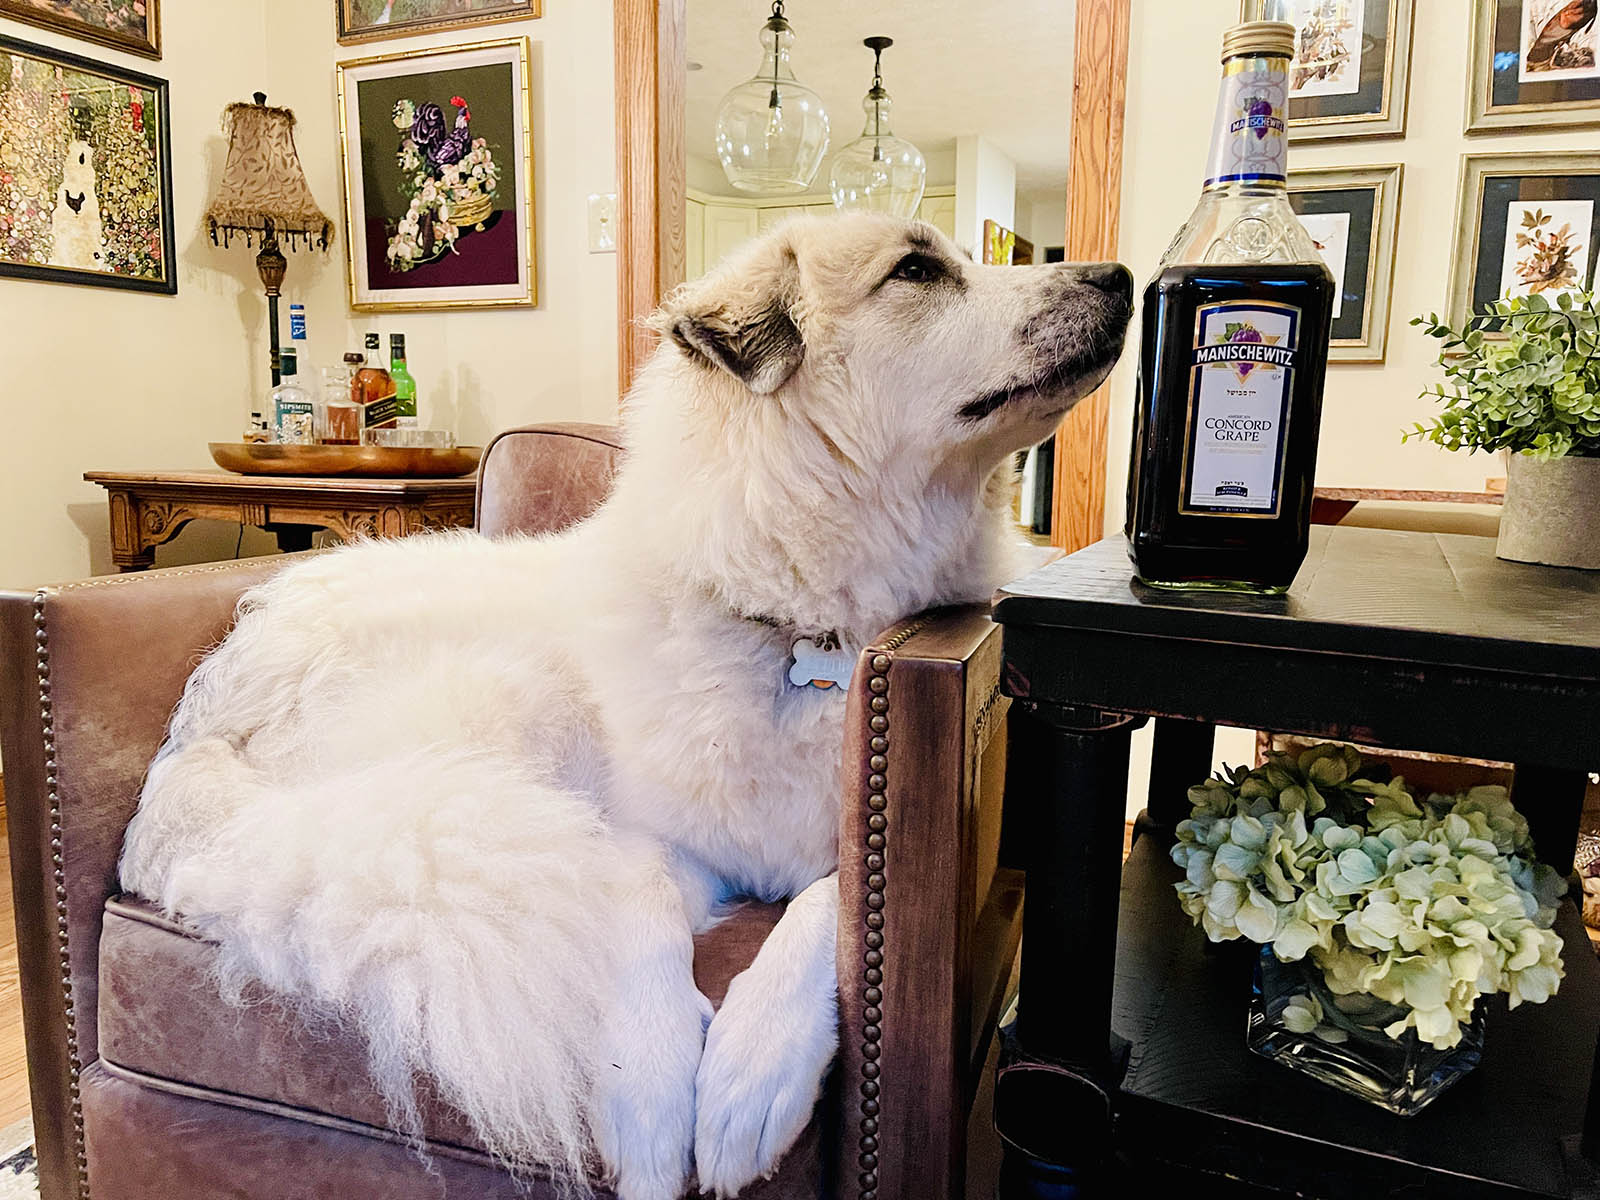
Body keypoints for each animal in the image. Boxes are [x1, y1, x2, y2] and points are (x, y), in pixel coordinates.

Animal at [118, 216, 1132, 1200]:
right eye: (917, 271)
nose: (1119, 277)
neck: (803, 630)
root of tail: (210, 720)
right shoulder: (654, 842)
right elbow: (639, 919)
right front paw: (645, 1092)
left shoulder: (845, 851)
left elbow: (828, 904)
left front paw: (751, 1071)